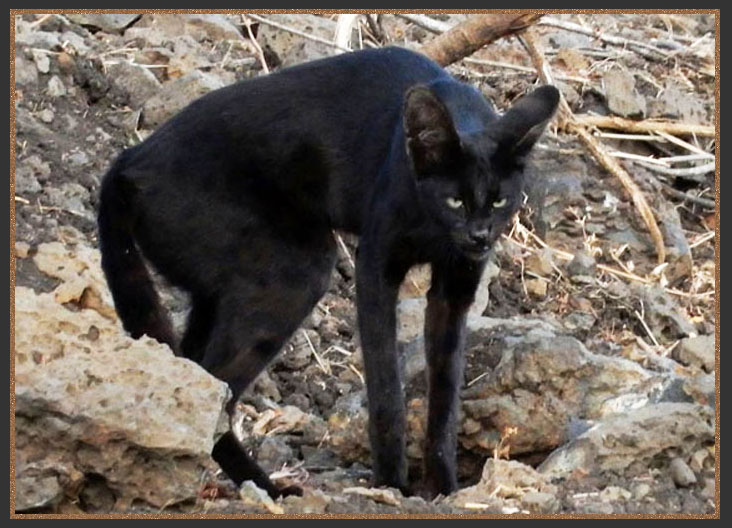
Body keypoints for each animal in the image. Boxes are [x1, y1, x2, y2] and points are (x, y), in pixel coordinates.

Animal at [96, 46, 556, 500]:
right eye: (455, 200)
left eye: (499, 201)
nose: (479, 236)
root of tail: (128, 161)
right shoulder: (376, 268)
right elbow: (385, 384)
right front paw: (392, 482)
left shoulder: (456, 288)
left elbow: (446, 392)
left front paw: (444, 486)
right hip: (298, 272)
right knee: (215, 391)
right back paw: (271, 488)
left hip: (217, 294)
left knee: (193, 370)